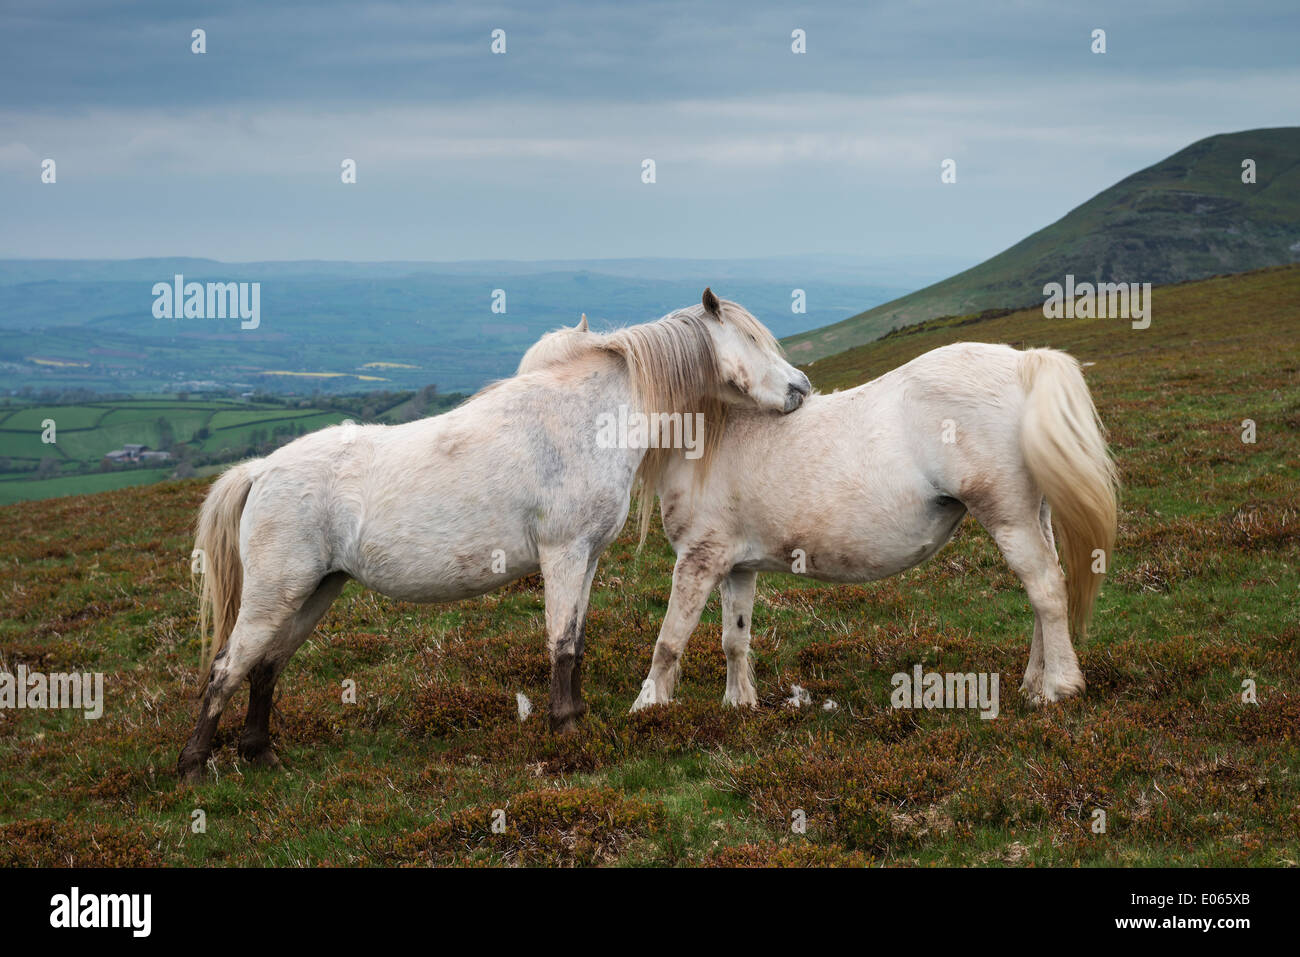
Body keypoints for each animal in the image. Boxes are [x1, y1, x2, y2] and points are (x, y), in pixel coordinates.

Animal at [176, 288, 811, 783]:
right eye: (750, 340)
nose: (801, 386)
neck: (585, 421)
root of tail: (261, 469)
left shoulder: (586, 559)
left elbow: (577, 641)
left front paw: (577, 717)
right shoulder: (562, 555)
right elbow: (560, 643)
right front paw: (566, 731)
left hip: (315, 590)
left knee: (265, 665)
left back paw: (260, 756)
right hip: (276, 592)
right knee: (227, 667)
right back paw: (192, 768)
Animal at [622, 341, 1119, 711]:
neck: (710, 437)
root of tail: (1022, 362)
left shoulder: (699, 560)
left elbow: (669, 640)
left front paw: (647, 707)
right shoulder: (737, 566)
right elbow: (734, 639)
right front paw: (737, 704)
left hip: (1009, 517)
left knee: (1046, 589)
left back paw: (1057, 688)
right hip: (1034, 517)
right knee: (1043, 592)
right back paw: (1034, 683)